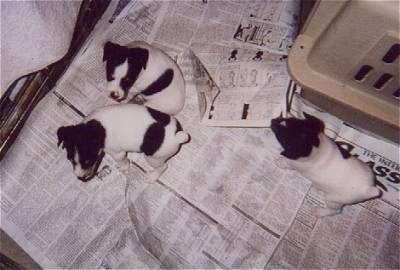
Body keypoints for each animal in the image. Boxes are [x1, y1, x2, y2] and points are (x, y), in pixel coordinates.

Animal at [56, 104, 189, 182]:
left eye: (88, 161)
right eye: (70, 159)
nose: (80, 178)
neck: (93, 129)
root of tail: (176, 136)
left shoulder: (118, 153)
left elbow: (123, 161)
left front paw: (124, 167)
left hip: (154, 158)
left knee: (163, 166)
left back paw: (152, 176)